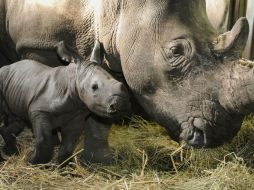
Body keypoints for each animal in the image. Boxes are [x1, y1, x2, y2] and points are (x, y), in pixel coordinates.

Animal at [0, 41, 129, 165]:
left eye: (121, 84)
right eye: (94, 87)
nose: (121, 104)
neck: (73, 81)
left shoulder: (76, 116)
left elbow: (69, 143)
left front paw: (65, 166)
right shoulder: (39, 109)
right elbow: (43, 139)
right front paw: (33, 164)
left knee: (18, 120)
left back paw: (12, 152)